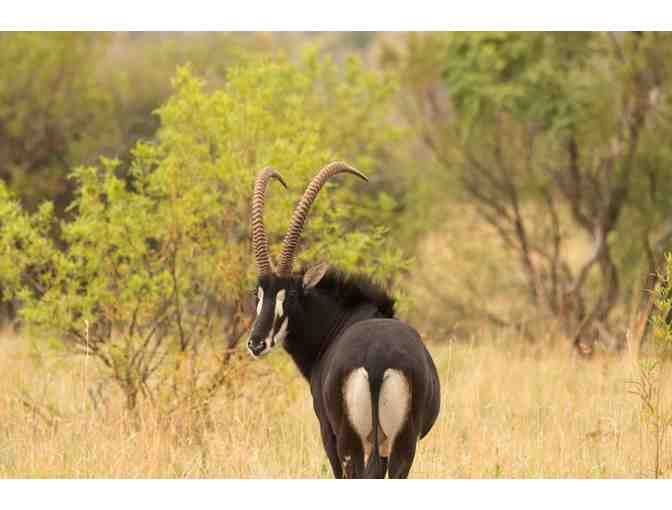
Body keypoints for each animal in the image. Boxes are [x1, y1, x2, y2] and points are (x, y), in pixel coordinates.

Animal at [247, 163, 440, 478]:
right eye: (258, 293)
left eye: (290, 294)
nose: (256, 343)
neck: (342, 319)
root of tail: (376, 359)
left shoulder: (327, 430)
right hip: (401, 442)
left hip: (351, 440)